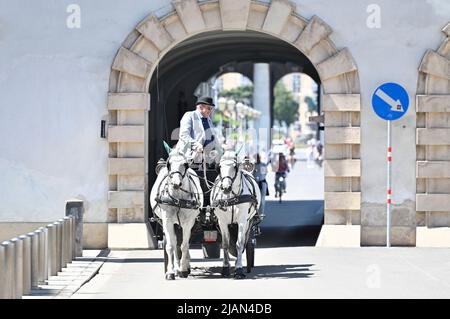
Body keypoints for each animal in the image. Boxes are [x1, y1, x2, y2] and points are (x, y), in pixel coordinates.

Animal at [149, 150, 202, 280]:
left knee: (182, 243)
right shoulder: (167, 221)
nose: (176, 184)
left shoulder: (188, 223)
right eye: (169, 164)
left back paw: (183, 266)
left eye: (185, 164)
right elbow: (171, 246)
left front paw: (183, 269)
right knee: (174, 243)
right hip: (172, 223)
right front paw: (170, 272)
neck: (178, 199)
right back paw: (176, 268)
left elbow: (184, 246)